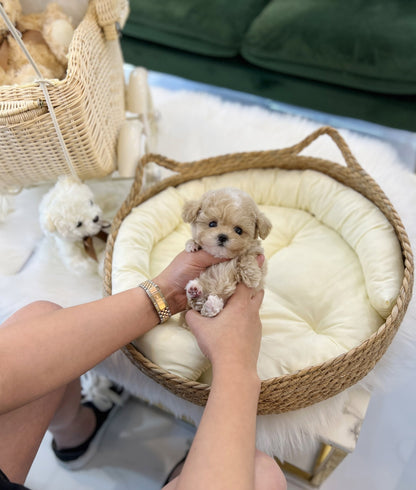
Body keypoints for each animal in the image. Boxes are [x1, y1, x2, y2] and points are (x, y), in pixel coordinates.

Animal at [184, 188, 272, 318]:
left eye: (238, 230)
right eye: (212, 224)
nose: (222, 237)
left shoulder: (257, 255)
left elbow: (247, 257)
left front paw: (252, 277)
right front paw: (192, 245)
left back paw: (210, 303)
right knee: (197, 304)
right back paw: (195, 290)